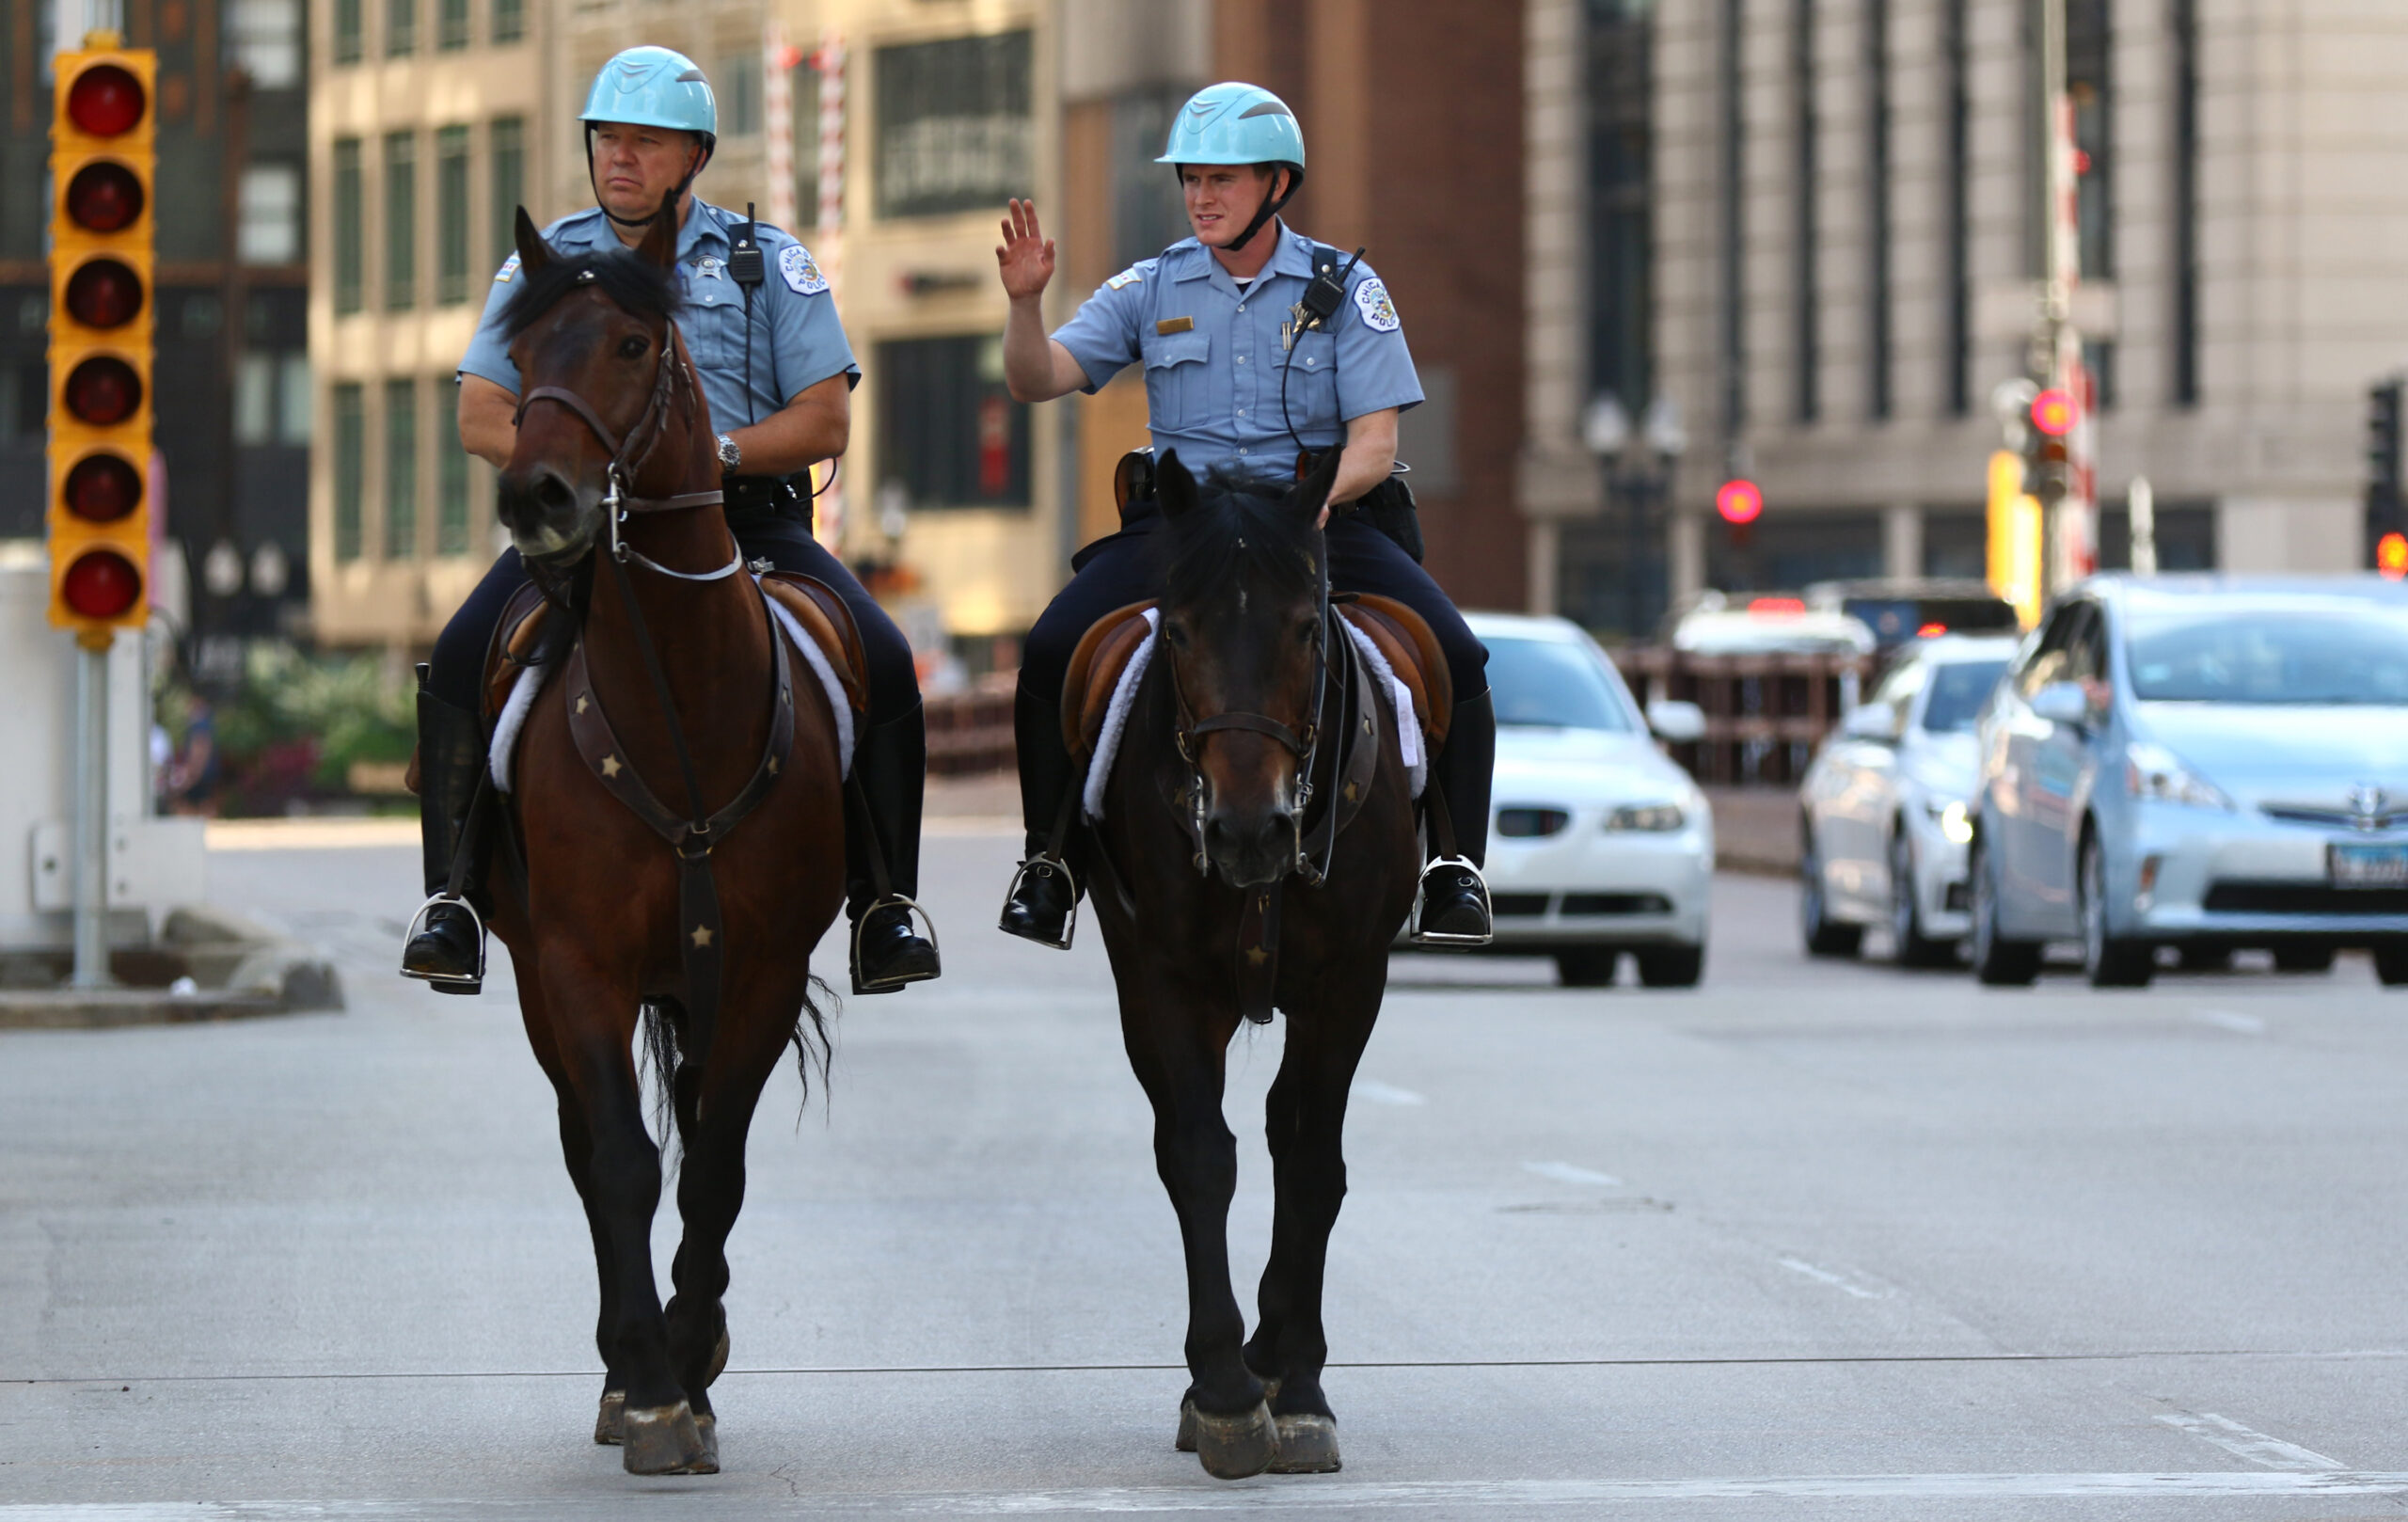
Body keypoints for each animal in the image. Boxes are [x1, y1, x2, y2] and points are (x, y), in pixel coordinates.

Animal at [479, 204, 848, 1473]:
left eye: (634, 346)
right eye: (520, 353)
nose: (537, 496)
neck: (681, 706)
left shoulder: (762, 971)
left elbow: (715, 1164)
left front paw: (689, 1357)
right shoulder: (577, 965)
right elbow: (623, 1164)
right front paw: (645, 1381)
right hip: (538, 979)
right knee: (591, 1146)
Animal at [1084, 452, 1416, 1473]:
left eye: (1306, 627)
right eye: (1180, 630)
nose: (1245, 829)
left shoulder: (1350, 984)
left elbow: (1312, 1164)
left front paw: (1298, 1388)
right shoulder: (1159, 980)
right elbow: (1198, 1156)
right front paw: (1225, 1392)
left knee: (1288, 1128)